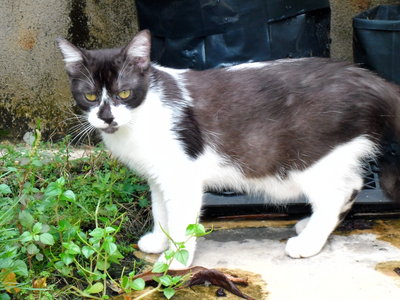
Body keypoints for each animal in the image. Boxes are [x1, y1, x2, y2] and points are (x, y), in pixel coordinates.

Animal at [57, 29, 400, 270]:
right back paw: (309, 226)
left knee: (336, 193)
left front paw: (175, 261)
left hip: (311, 155)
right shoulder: (158, 175)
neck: (140, 118)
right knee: (352, 184)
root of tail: (367, 78)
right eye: (89, 96)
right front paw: (158, 240)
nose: (107, 117)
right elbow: (160, 209)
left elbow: (180, 219)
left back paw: (309, 242)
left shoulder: (181, 175)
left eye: (124, 93)